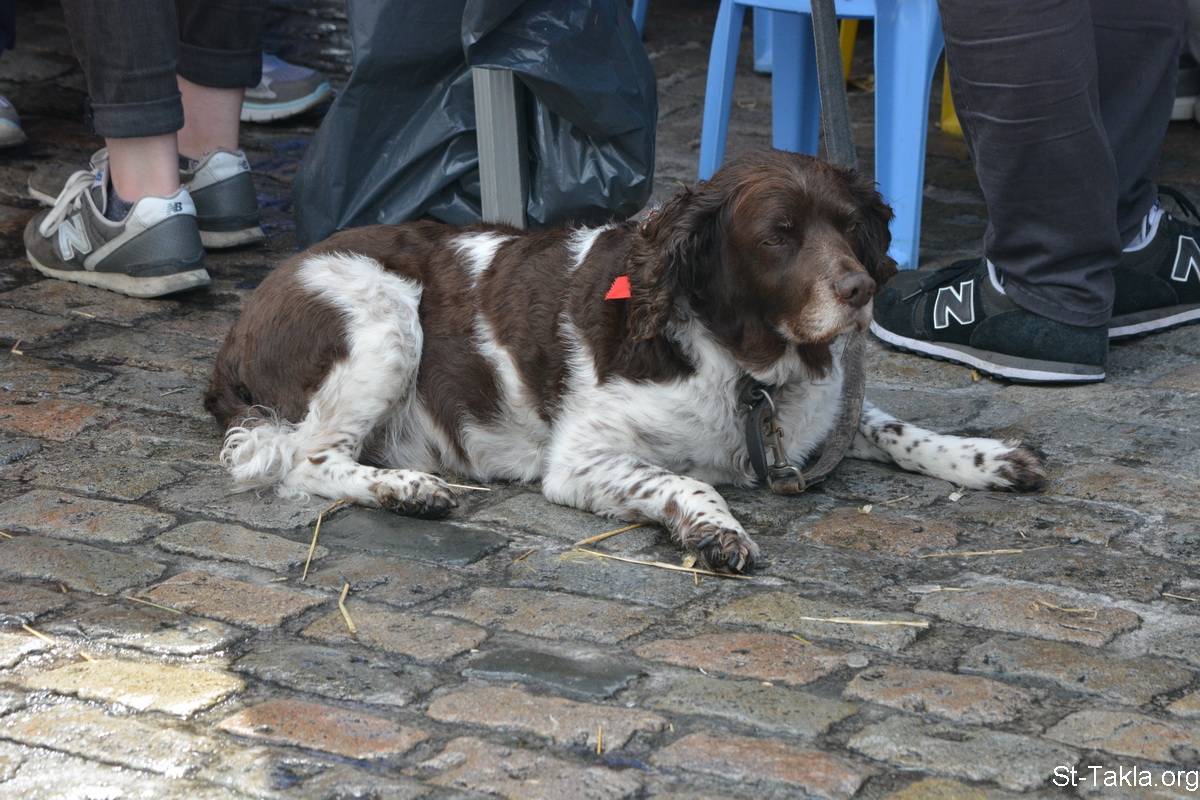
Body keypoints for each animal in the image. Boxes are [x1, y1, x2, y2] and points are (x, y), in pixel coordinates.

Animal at [205, 150, 1044, 573]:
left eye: (847, 225)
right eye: (778, 235)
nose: (861, 289)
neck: (746, 369)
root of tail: (247, 307)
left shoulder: (822, 416)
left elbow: (892, 425)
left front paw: (987, 457)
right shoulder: (580, 459)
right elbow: (682, 479)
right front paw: (715, 529)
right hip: (382, 318)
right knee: (309, 461)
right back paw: (409, 490)